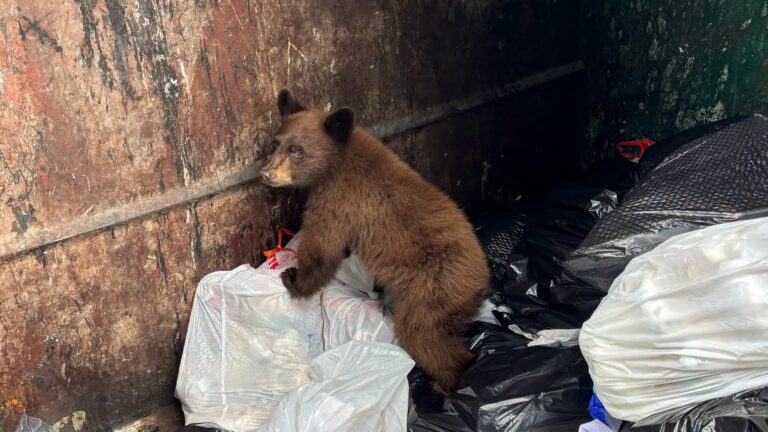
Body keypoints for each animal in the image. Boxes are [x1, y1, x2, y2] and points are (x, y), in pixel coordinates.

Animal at [259, 90, 490, 393]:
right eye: (276, 143)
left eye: (298, 151)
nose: (266, 174)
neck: (337, 162)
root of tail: (482, 280)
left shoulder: (337, 200)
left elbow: (322, 247)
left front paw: (294, 280)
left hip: (435, 289)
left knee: (422, 335)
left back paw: (446, 382)